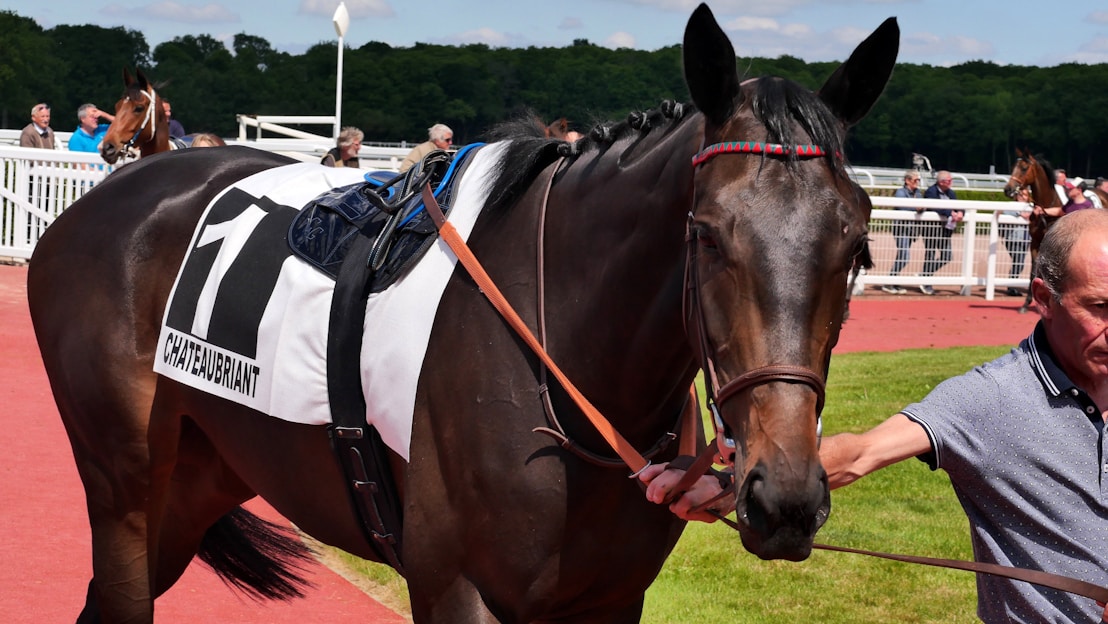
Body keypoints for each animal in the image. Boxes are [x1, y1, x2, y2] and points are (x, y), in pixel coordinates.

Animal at [28, 4, 898, 622]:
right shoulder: (456, 588)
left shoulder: (609, 599)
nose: (784, 499)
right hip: (125, 483)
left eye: (857, 244)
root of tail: (103, 199)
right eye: (708, 234)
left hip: (199, 476)